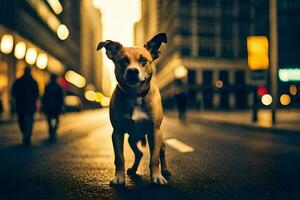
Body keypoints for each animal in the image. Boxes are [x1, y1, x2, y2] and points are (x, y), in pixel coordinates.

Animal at [96, 33, 170, 186]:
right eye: (123, 60)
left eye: (143, 60)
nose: (132, 71)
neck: (134, 95)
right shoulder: (117, 132)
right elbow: (119, 158)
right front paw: (119, 177)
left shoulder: (155, 132)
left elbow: (154, 158)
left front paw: (157, 176)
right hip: (131, 139)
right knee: (139, 153)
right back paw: (133, 169)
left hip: (159, 137)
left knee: (162, 151)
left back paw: (165, 169)